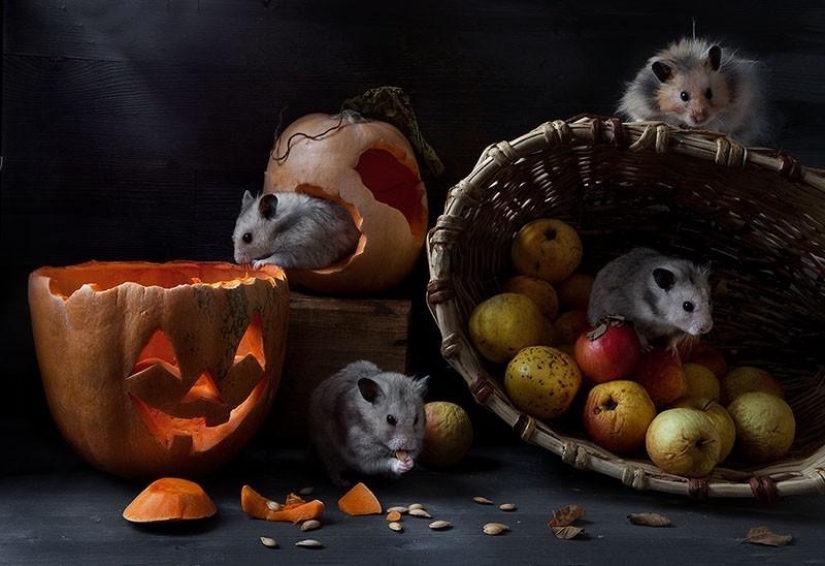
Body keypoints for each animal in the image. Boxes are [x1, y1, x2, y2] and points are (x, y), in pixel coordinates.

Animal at [232, 190, 360, 270]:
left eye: (247, 237)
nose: (237, 261)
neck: (280, 229)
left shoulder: (297, 251)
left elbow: (276, 258)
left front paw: (257, 263)